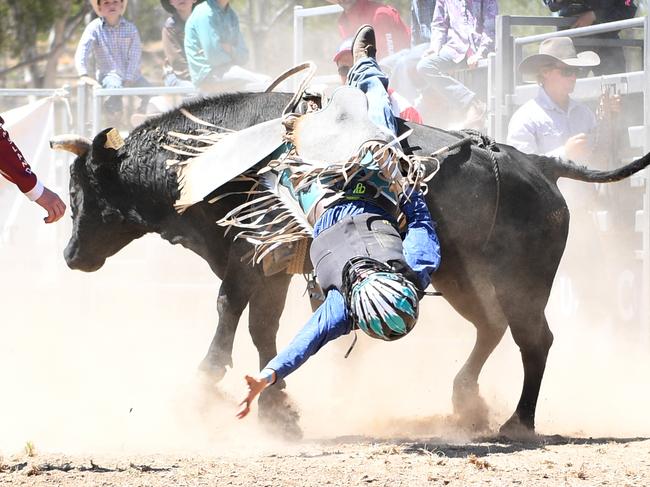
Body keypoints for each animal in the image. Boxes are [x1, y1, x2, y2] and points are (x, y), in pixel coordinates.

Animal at [52, 91, 650, 438]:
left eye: (83, 189)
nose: (71, 255)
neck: (214, 161)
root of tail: (542, 166)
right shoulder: (269, 266)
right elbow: (264, 329)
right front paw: (278, 409)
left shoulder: (248, 258)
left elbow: (229, 313)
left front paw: (202, 389)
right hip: (463, 279)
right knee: (492, 328)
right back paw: (467, 402)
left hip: (523, 284)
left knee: (534, 340)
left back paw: (517, 422)